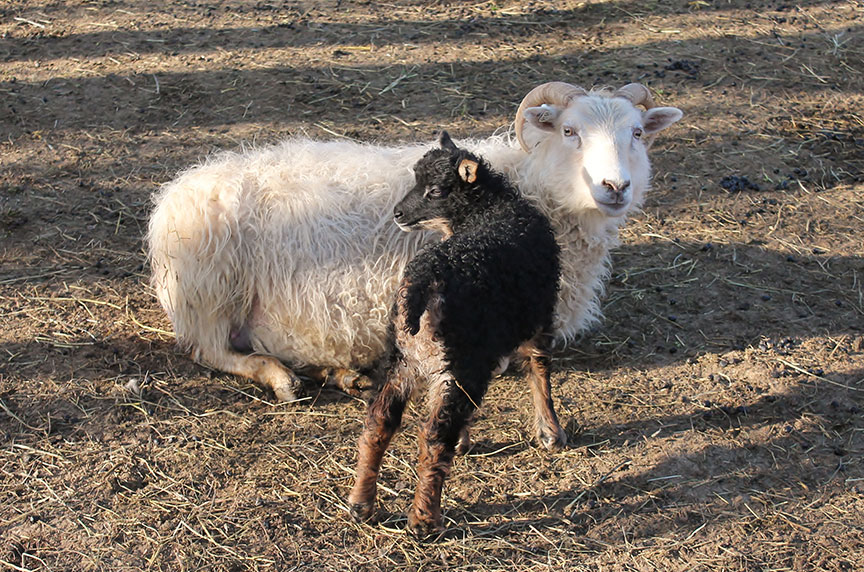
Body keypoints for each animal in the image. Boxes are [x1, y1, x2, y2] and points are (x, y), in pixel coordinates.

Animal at [146, 82, 683, 401]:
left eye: (637, 133)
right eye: (571, 131)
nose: (615, 187)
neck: (526, 188)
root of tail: (174, 192)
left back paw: (339, 374)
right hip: (210, 292)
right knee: (211, 352)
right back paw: (279, 376)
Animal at [348, 131, 564, 536]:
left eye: (434, 190)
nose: (398, 214)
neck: (492, 210)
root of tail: (423, 279)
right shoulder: (539, 315)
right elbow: (540, 369)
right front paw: (551, 432)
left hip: (403, 357)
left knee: (378, 421)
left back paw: (360, 503)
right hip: (461, 358)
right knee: (434, 437)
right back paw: (424, 520)